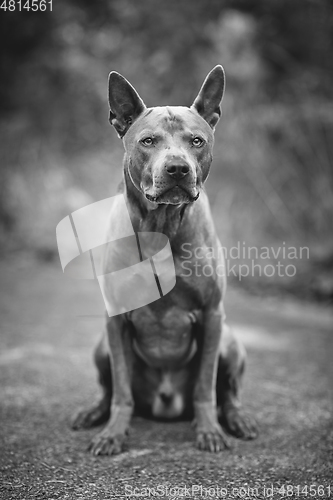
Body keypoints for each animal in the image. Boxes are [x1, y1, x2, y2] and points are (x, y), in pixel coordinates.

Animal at [72, 64, 256, 456]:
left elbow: (205, 386)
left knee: (228, 392)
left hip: (230, 340)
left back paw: (236, 419)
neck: (161, 226)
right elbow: (121, 389)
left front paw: (209, 431)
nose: (177, 169)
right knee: (108, 388)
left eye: (197, 141)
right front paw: (113, 433)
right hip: (101, 346)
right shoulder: (116, 320)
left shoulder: (211, 315)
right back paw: (94, 413)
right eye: (148, 141)